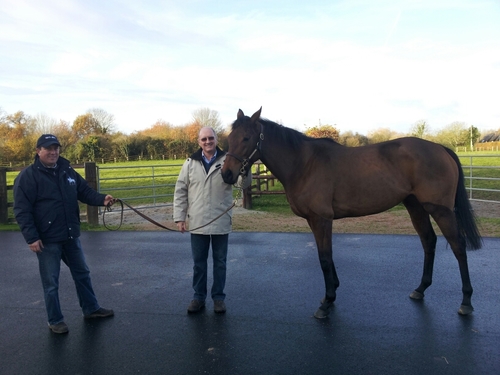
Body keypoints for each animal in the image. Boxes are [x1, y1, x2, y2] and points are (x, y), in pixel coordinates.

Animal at [222, 108, 480, 320]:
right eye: (229, 139)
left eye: (246, 138)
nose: (226, 174)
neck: (304, 164)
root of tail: (440, 148)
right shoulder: (315, 221)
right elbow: (326, 255)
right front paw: (331, 293)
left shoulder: (321, 219)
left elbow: (325, 258)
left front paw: (327, 303)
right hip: (415, 207)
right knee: (429, 241)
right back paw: (420, 289)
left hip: (440, 210)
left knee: (458, 246)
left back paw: (466, 301)